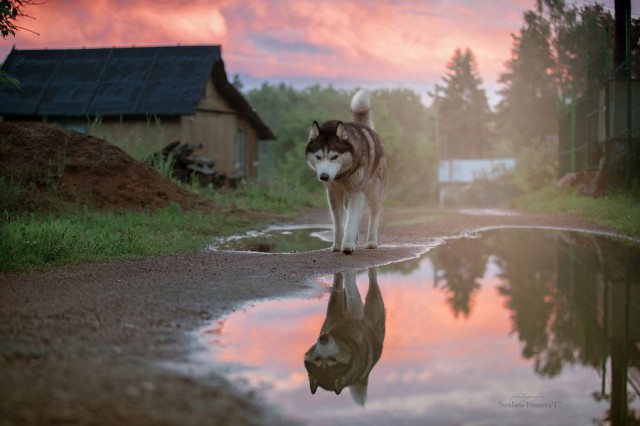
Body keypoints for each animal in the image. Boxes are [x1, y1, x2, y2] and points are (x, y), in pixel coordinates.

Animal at [304, 89, 384, 253]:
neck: (341, 176)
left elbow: (351, 221)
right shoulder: (333, 195)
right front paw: (337, 244)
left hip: (373, 193)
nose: (324, 177)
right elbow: (339, 222)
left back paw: (371, 241)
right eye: (318, 156)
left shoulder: (356, 193)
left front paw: (347, 245)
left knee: (373, 216)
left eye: (334, 156)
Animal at [304, 270, 388, 406]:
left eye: (332, 360)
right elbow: (345, 289)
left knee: (371, 281)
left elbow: (344, 285)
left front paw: (346, 275)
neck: (340, 336)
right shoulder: (343, 315)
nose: (323, 339)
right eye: (317, 359)